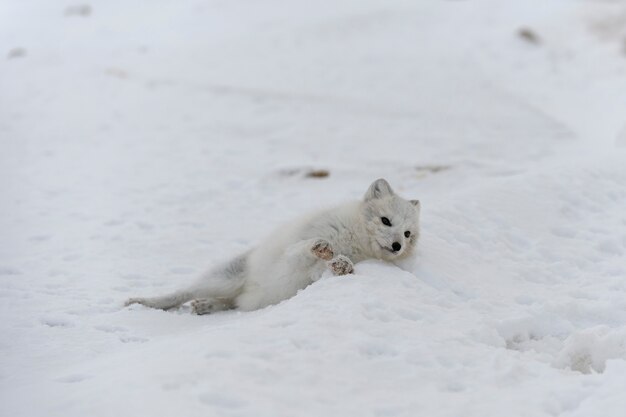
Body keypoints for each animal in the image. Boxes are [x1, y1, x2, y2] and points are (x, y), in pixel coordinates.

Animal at [125, 177, 420, 314]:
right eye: (385, 220)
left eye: (407, 234)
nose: (397, 246)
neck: (355, 240)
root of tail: (246, 291)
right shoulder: (292, 252)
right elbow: (302, 249)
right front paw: (320, 248)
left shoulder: (311, 277)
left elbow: (323, 270)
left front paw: (340, 265)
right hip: (223, 278)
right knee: (181, 293)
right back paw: (143, 302)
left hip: (241, 296)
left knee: (230, 304)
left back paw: (206, 306)